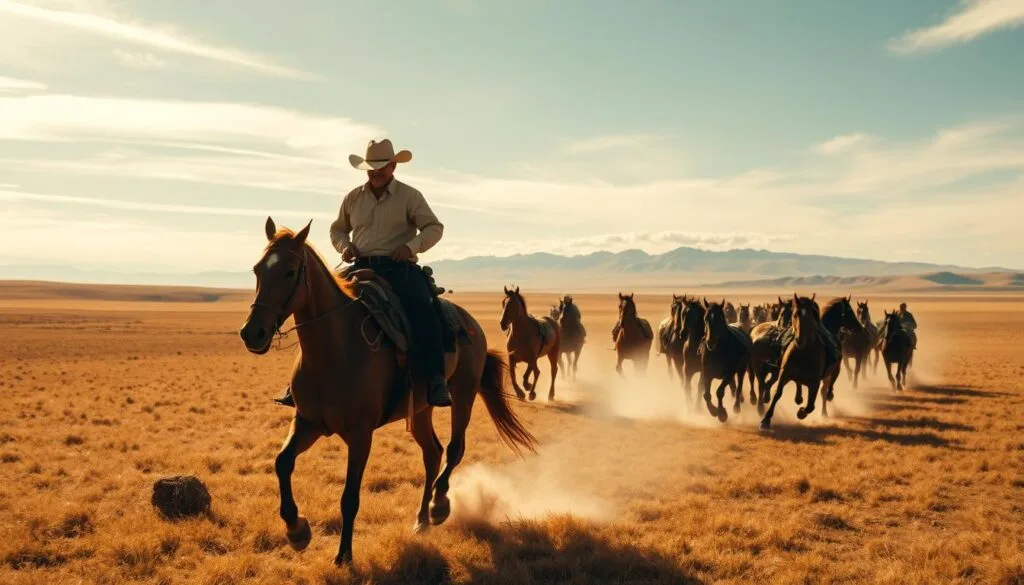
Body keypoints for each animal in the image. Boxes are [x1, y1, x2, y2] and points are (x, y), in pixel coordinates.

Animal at [239, 218, 537, 565]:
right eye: (258, 270)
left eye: (289, 271)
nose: (252, 333)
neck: (334, 349)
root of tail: (470, 322)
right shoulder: (308, 422)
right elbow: (282, 462)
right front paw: (297, 531)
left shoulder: (360, 434)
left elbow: (349, 497)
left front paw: (344, 555)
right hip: (420, 408)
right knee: (432, 452)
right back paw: (421, 520)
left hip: (463, 394)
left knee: (454, 449)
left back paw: (438, 507)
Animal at [759, 294, 839, 430]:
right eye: (795, 315)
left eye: (811, 316)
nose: (799, 340)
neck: (803, 353)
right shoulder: (784, 373)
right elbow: (777, 393)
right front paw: (766, 419)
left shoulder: (815, 382)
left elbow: (811, 405)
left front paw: (801, 412)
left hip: (833, 373)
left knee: (827, 388)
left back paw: (826, 398)